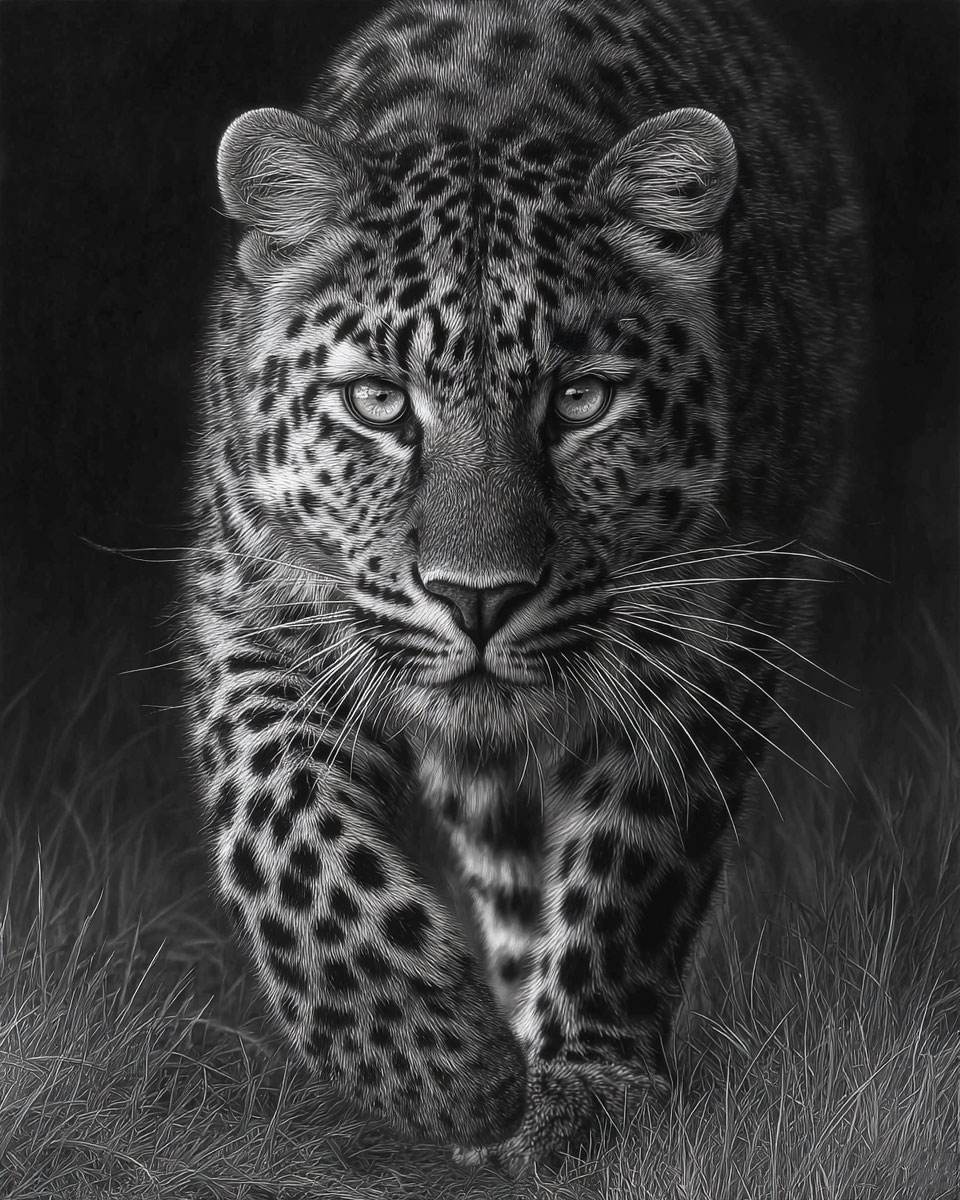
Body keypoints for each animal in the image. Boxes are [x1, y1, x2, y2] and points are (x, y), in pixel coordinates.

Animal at [183, 0, 863, 1171]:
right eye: (378, 402)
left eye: (581, 401)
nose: (478, 597)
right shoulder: (253, 612)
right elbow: (280, 829)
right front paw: (438, 1064)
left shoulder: (720, 626)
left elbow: (636, 860)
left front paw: (586, 1084)